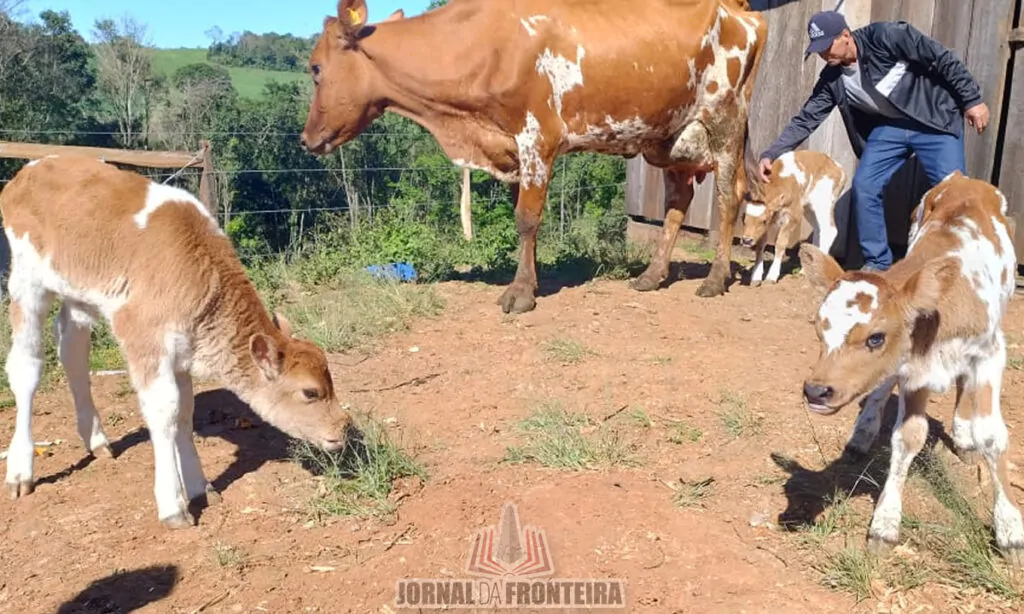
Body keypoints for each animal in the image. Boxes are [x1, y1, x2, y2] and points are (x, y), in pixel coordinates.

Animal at [1, 154, 352, 528]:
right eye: (310, 392)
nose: (343, 429)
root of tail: (30, 170)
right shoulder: (144, 340)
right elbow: (165, 411)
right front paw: (173, 505)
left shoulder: (182, 352)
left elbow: (184, 411)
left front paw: (200, 487)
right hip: (26, 283)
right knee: (26, 367)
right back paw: (21, 471)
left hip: (79, 294)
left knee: (72, 347)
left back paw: (96, 440)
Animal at [741, 151, 843, 288]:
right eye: (744, 219)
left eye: (763, 220)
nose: (746, 240)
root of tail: (838, 168)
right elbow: (761, 245)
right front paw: (756, 277)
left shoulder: (794, 215)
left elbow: (780, 243)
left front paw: (771, 277)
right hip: (809, 208)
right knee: (818, 229)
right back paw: (805, 270)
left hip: (824, 203)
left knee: (830, 230)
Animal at [798, 168, 1024, 564]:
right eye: (818, 328)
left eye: (875, 338)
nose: (816, 390)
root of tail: (965, 178)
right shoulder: (913, 370)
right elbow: (908, 436)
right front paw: (885, 523)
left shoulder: (991, 352)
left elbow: (992, 436)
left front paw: (1010, 530)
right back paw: (864, 430)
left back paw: (962, 435)